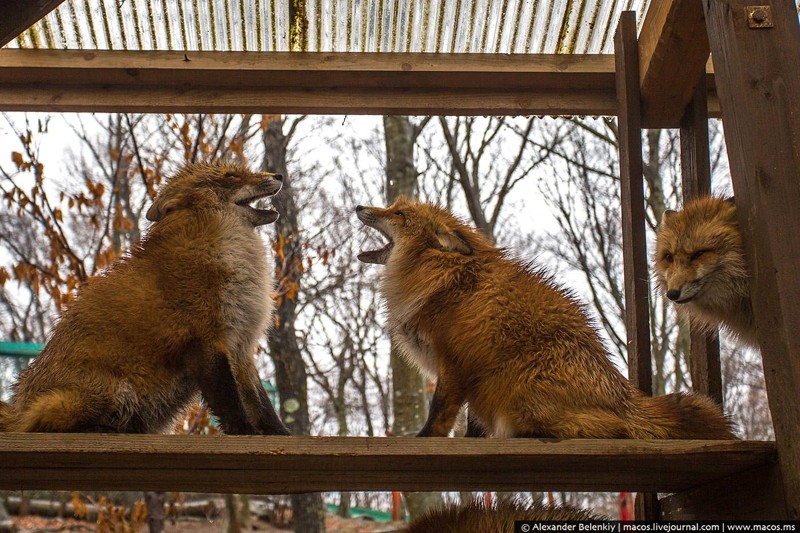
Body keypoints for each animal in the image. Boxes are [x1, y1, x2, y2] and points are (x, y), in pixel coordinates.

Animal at [0, 164, 292, 434]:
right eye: (231, 176)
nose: (278, 175)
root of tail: (18, 405)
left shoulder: (240, 346)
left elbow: (261, 405)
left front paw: (281, 435)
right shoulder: (206, 339)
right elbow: (230, 405)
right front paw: (246, 433)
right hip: (111, 392)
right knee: (39, 424)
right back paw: (99, 430)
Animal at [360, 197, 736, 438]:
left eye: (398, 213)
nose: (359, 207)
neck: (443, 274)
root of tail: (626, 397)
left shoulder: (454, 361)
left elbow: (439, 413)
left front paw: (423, 439)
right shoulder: (474, 375)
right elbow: (473, 423)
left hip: (517, 387)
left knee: (612, 430)